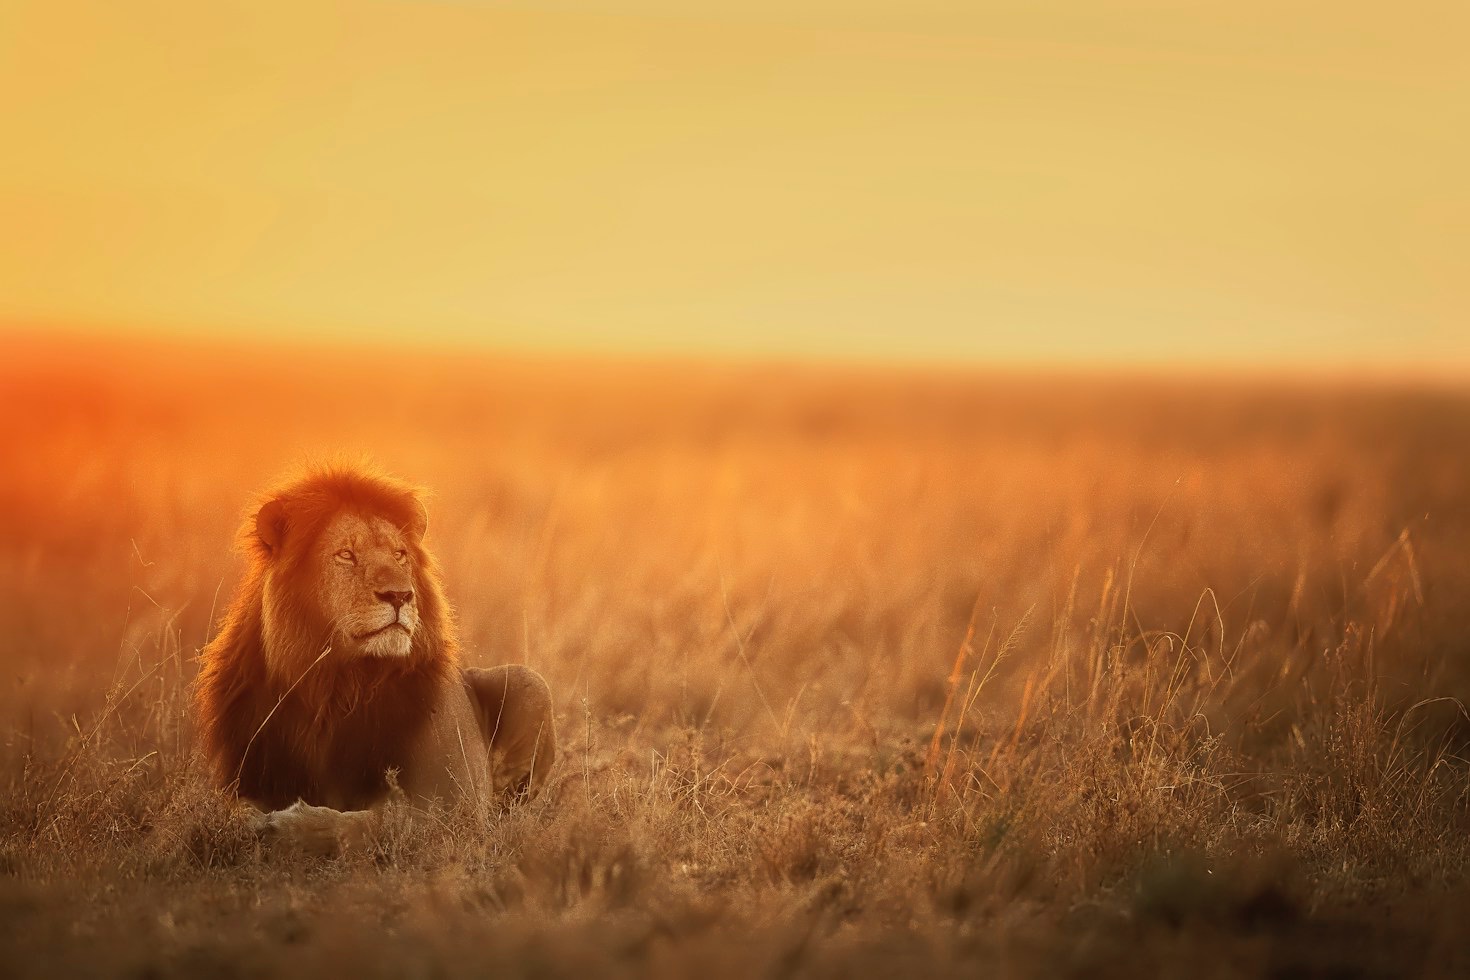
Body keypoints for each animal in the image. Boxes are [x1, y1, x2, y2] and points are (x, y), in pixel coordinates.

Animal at [194, 463, 555, 850]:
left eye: (399, 554)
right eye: (346, 555)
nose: (399, 595)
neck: (336, 684)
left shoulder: (455, 806)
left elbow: (377, 821)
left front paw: (289, 826)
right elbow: (227, 810)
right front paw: (247, 822)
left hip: (530, 683)